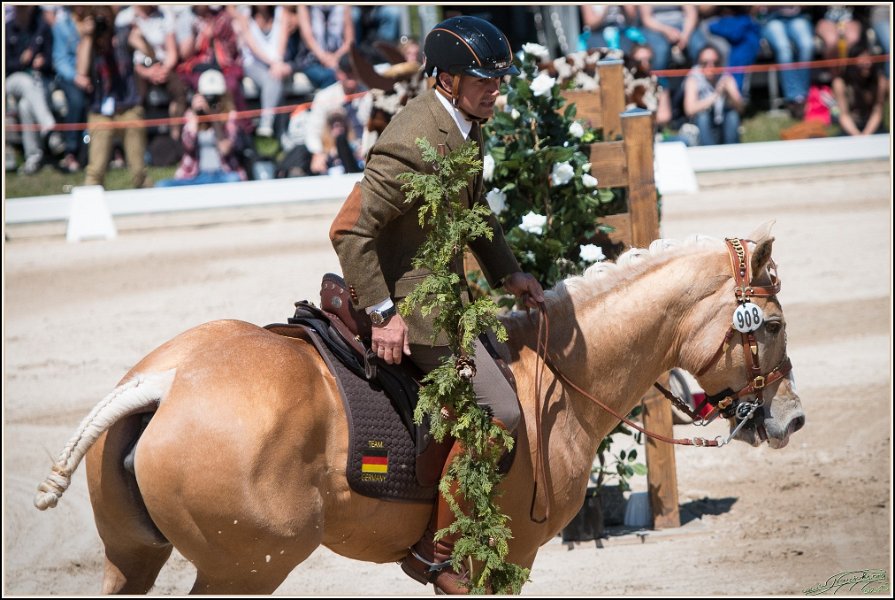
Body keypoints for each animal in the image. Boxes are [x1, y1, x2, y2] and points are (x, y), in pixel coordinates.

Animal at [34, 223, 804, 594]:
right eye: (768, 326)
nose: (791, 417)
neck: (552, 377)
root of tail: (171, 380)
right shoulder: (502, 560)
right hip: (245, 572)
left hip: (133, 558)